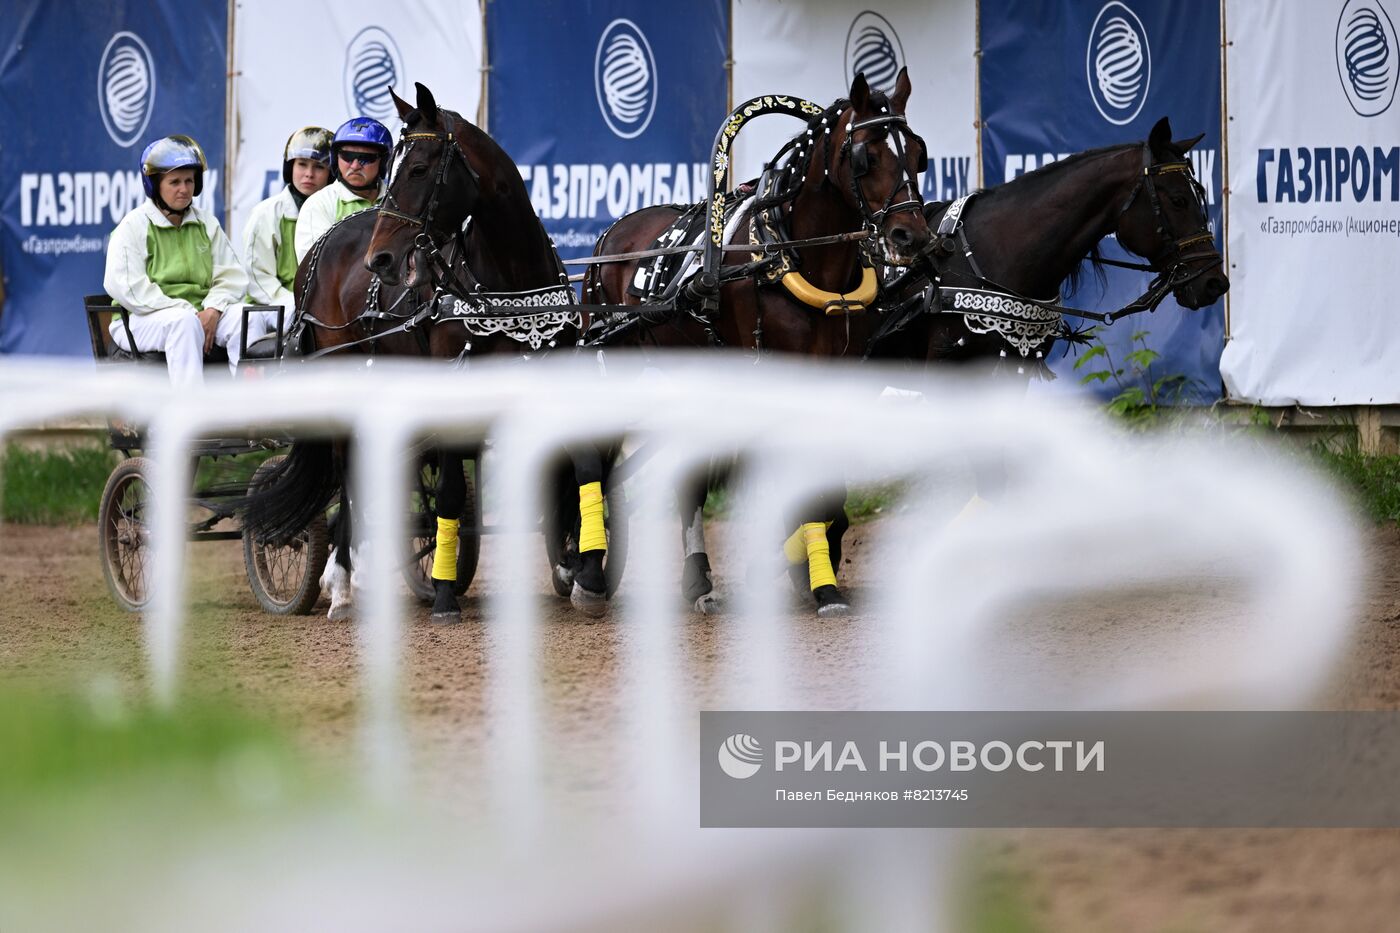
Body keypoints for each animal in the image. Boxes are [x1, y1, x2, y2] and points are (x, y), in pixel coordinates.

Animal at [239, 81, 613, 616]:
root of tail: (322, 247)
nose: (380, 259)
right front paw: (443, 592)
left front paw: (588, 573)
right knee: (347, 471)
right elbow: (452, 492)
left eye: (417, 169)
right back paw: (341, 580)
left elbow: (583, 464)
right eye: (392, 170)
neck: (508, 279)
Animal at [585, 68, 935, 613]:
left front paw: (809, 570)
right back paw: (589, 570)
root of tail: (611, 236)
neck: (787, 256)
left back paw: (699, 580)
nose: (911, 236)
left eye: (917, 153)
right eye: (867, 155)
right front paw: (816, 579)